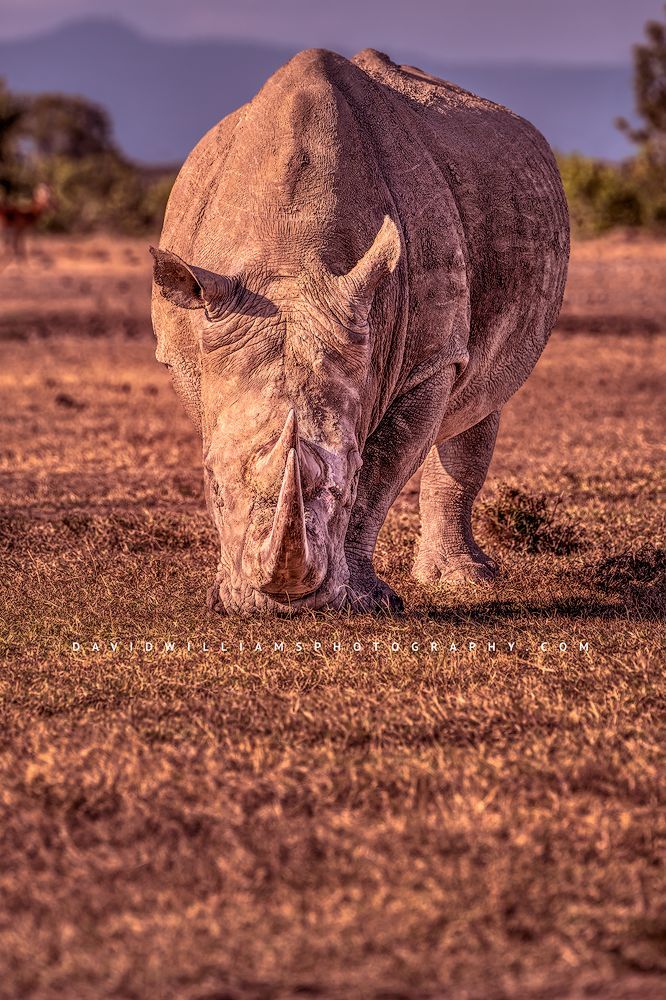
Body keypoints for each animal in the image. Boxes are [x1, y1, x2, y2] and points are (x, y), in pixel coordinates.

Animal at [151, 48, 569, 615]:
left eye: (344, 489)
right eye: (211, 485)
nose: (283, 606)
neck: (291, 260)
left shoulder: (430, 359)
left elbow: (382, 472)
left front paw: (368, 598)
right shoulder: (198, 342)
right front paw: (222, 594)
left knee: (484, 397)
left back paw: (463, 580)